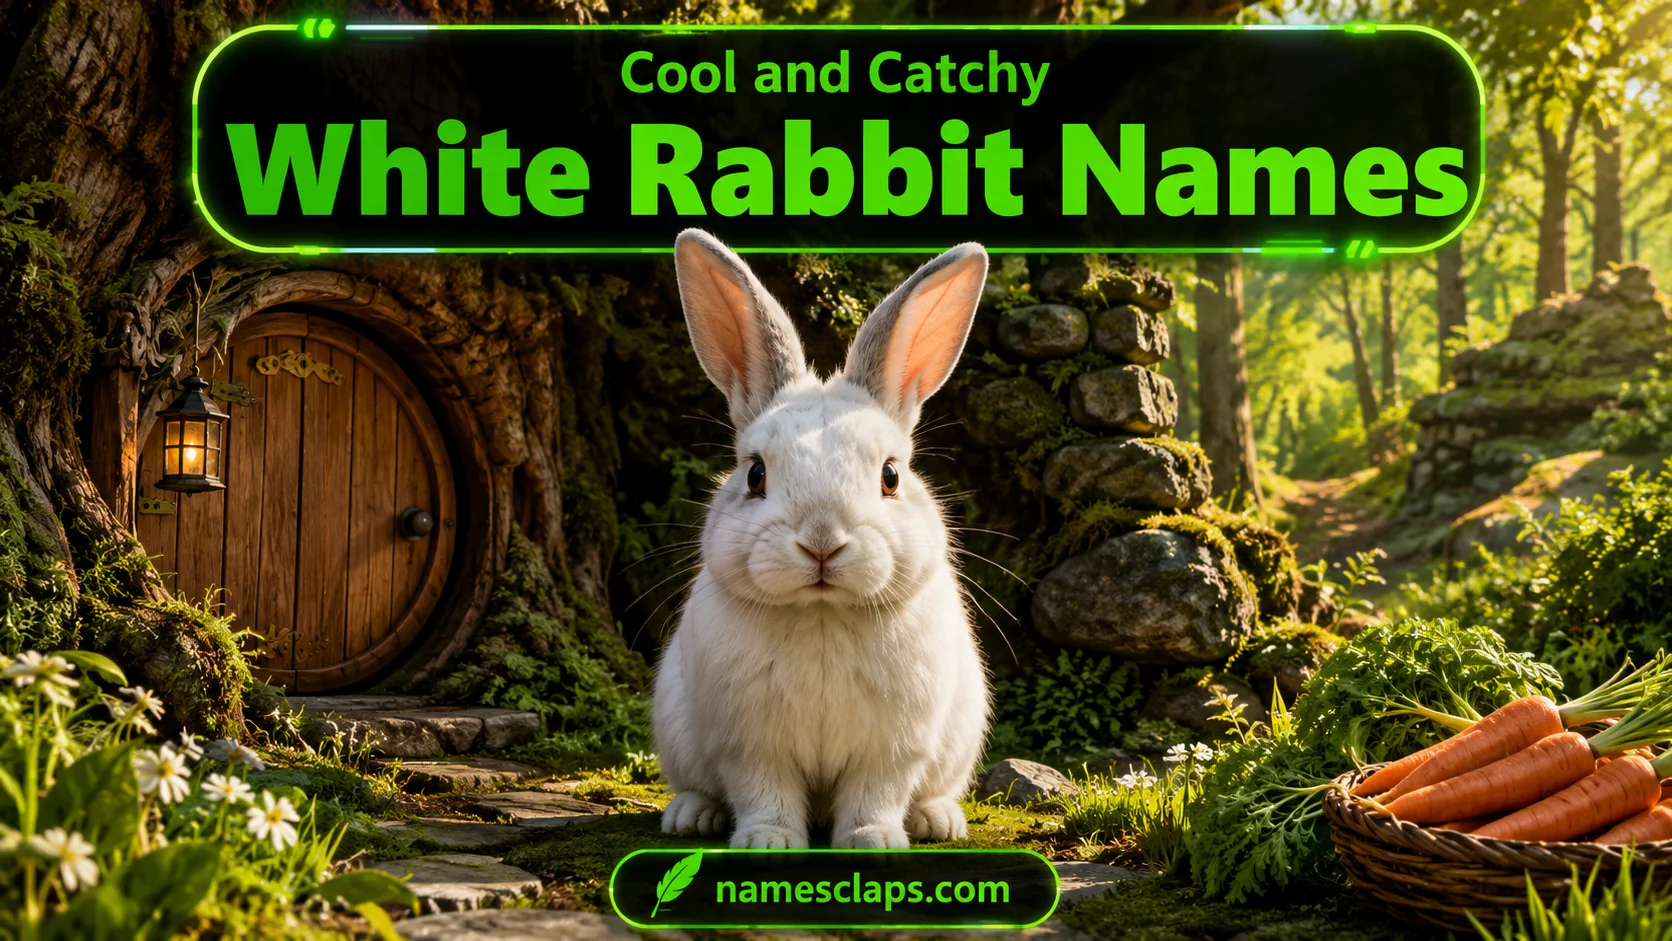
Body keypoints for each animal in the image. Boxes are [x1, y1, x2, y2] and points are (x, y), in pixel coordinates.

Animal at [652, 229, 992, 850]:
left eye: (891, 476)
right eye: (755, 474)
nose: (821, 542)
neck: (822, 612)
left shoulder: (893, 748)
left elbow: (875, 793)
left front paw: (872, 841)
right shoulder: (750, 745)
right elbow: (764, 792)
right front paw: (768, 843)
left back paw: (937, 821)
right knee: (701, 786)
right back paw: (691, 816)